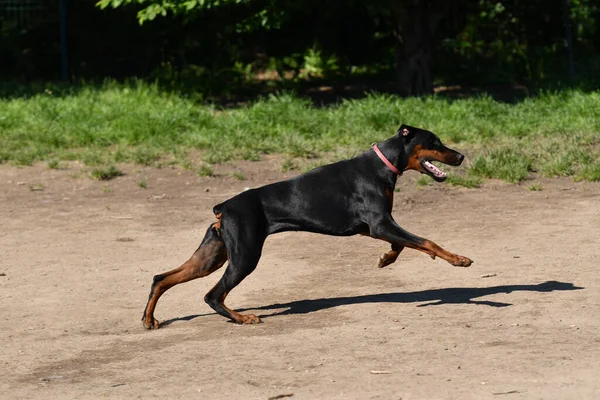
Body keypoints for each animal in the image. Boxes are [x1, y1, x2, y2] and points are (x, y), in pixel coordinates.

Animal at [142, 124, 474, 328]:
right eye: (434, 142)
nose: (460, 156)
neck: (382, 165)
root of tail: (224, 207)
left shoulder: (376, 226)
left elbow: (401, 244)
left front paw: (386, 259)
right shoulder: (380, 224)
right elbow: (426, 241)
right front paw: (459, 259)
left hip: (212, 254)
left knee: (162, 278)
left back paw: (149, 320)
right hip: (245, 256)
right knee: (213, 295)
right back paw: (243, 318)